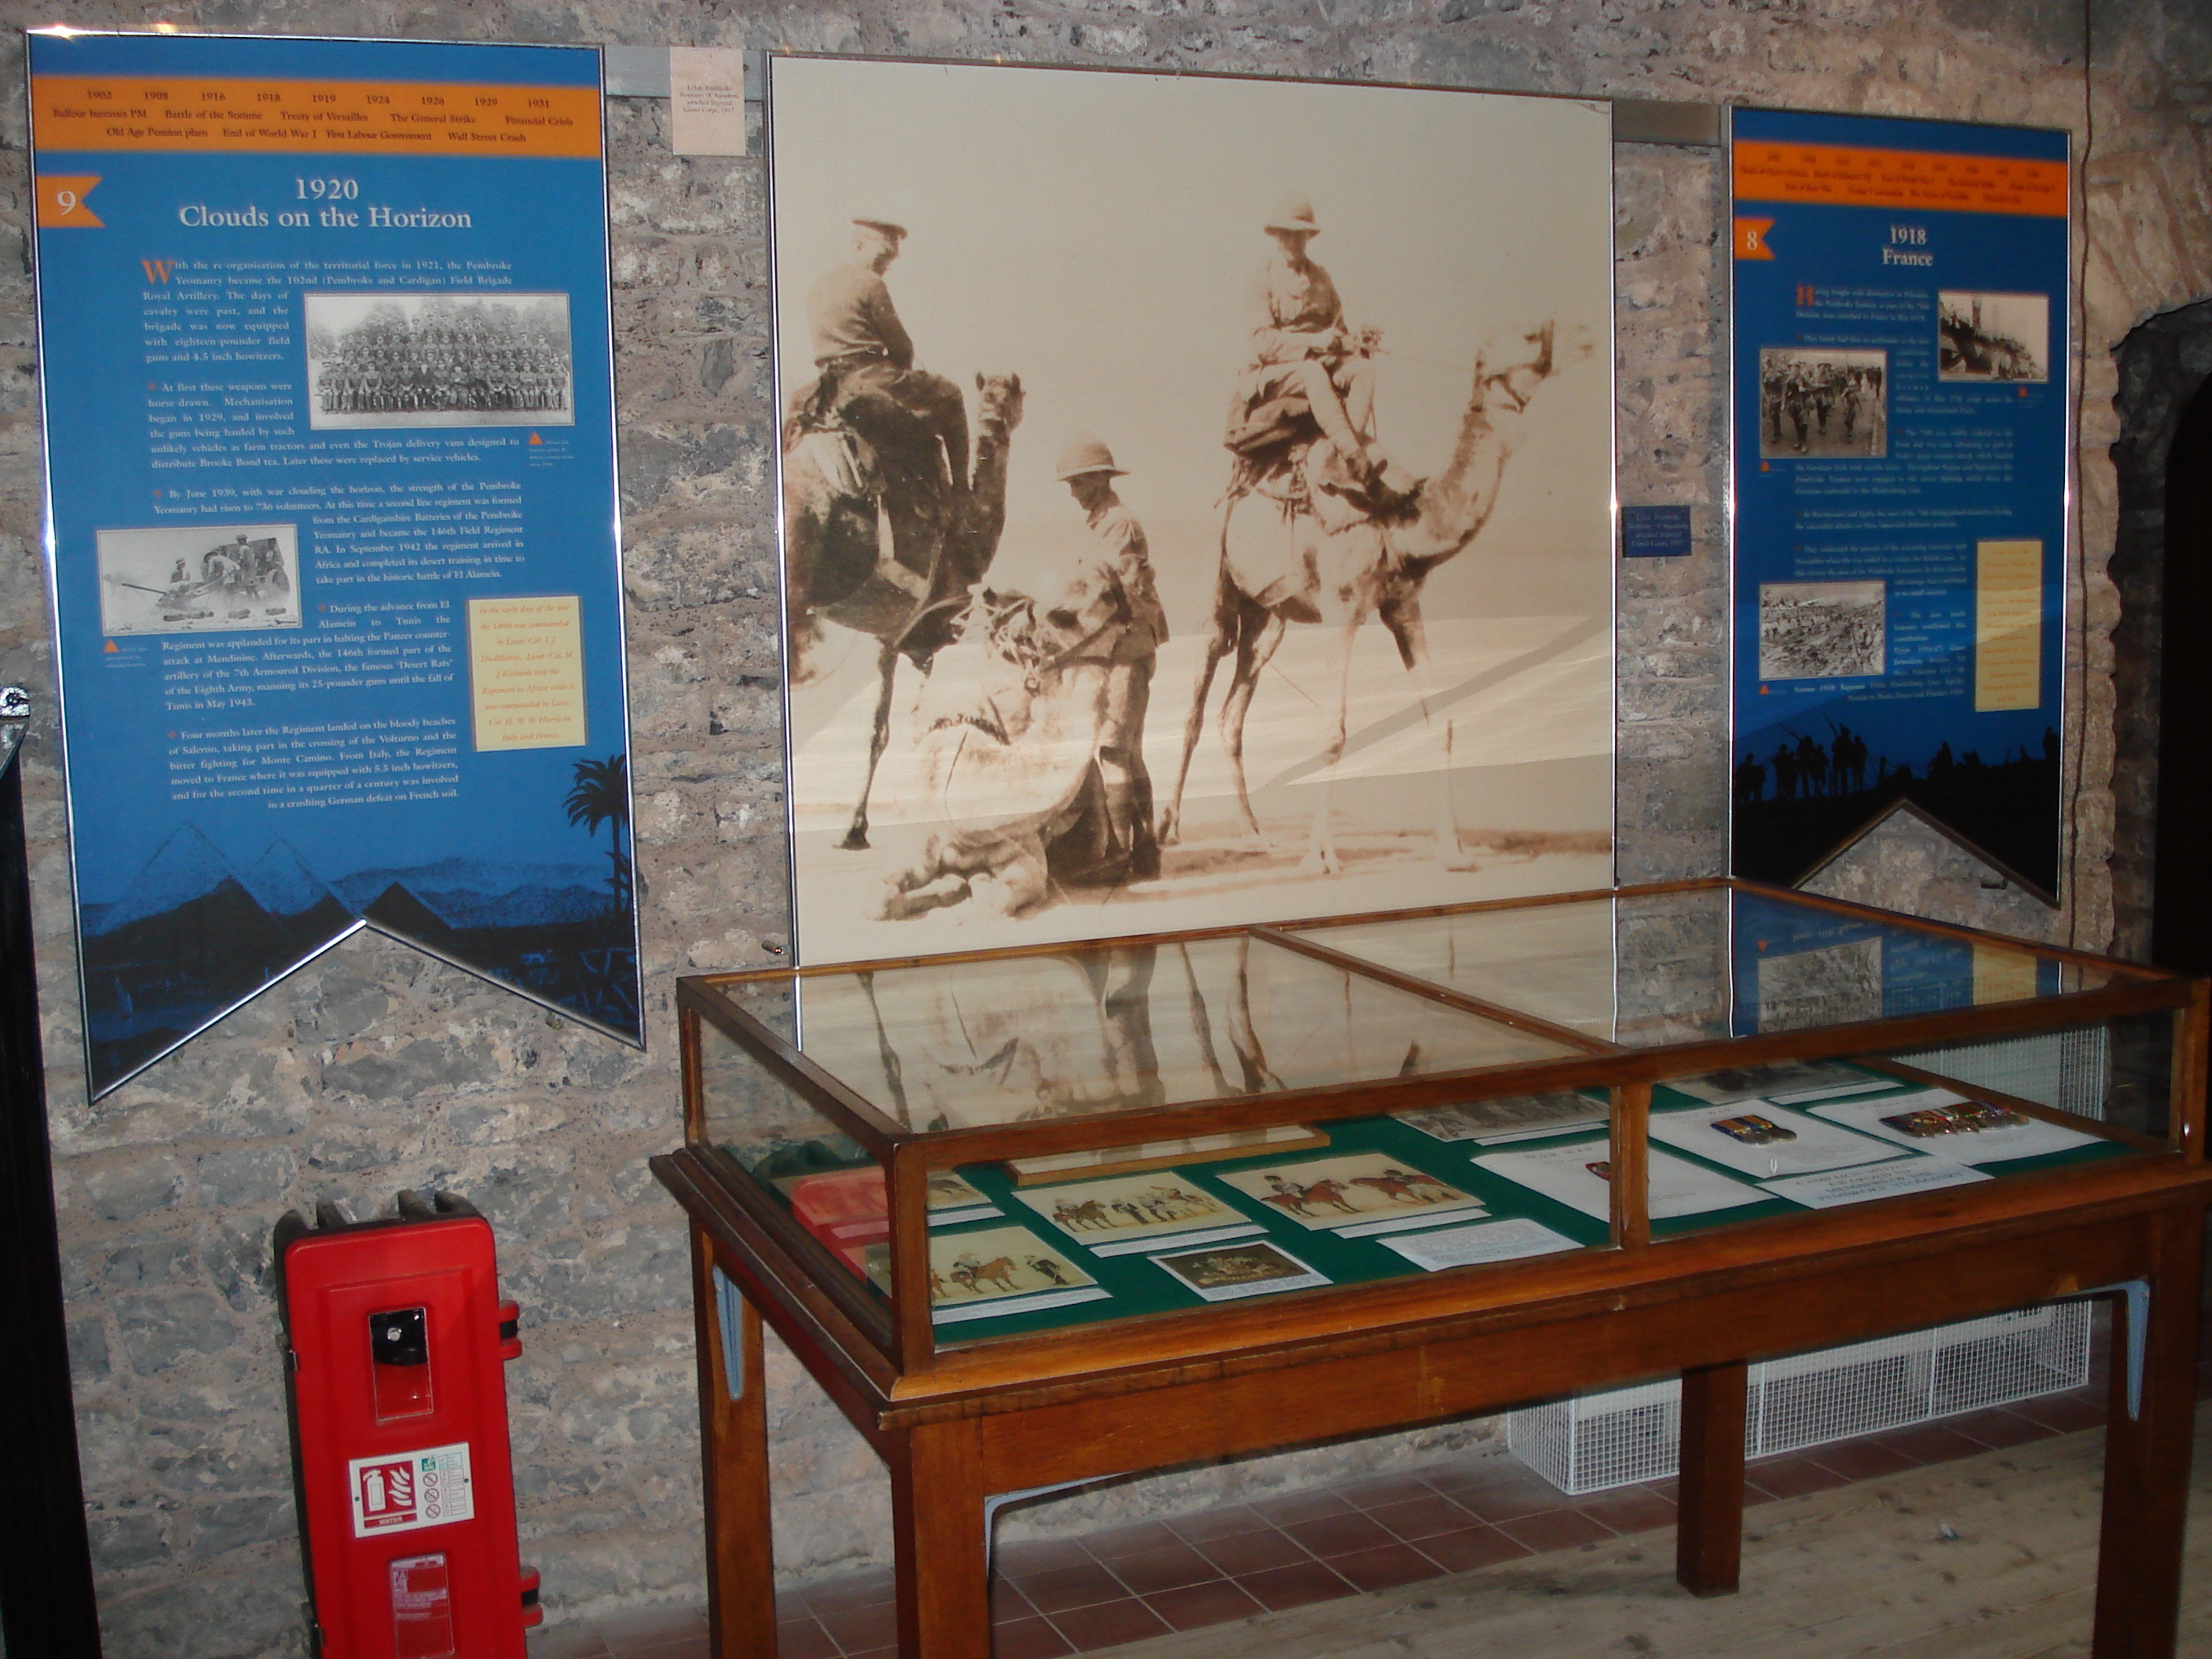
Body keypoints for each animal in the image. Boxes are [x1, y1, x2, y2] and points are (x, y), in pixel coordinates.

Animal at [1159, 316, 1592, 876]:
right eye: (1526, 335)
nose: (1584, 334)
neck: (1400, 520)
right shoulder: (1343, 608)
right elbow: (1333, 733)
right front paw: (1320, 856)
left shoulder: (1404, 606)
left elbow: (1442, 720)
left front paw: (1453, 850)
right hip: (1216, 590)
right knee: (1193, 708)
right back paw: (1169, 829)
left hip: (1267, 619)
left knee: (1232, 713)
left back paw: (1254, 834)